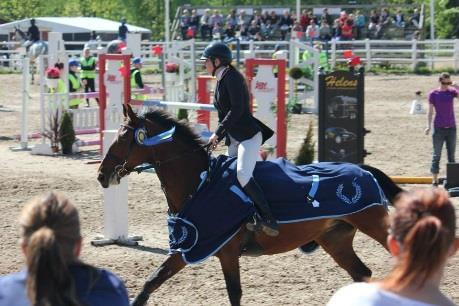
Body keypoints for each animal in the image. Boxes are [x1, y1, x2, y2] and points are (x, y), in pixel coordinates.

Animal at [97, 104, 402, 304]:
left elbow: (234, 293)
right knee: (361, 273)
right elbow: (151, 282)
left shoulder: (224, 250)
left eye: (123, 138)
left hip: (375, 225)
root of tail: (362, 169)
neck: (199, 185)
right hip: (334, 239)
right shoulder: (190, 247)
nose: (102, 174)